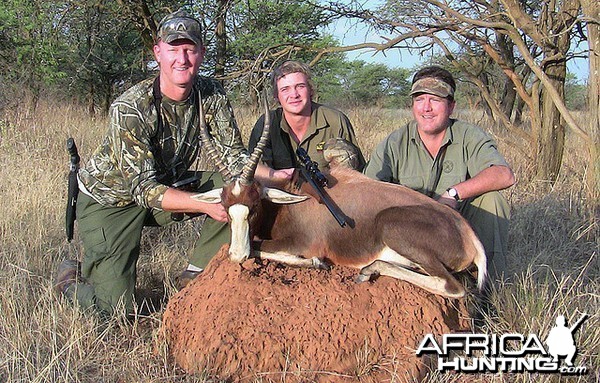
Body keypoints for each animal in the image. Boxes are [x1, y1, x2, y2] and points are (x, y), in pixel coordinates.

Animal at [195, 100, 486, 298]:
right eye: (226, 207)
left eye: (254, 207)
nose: (237, 255)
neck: (295, 195)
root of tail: (467, 233)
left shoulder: (303, 243)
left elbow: (260, 246)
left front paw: (315, 262)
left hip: (393, 227)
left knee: (451, 286)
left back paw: (367, 270)